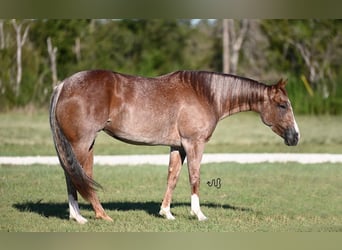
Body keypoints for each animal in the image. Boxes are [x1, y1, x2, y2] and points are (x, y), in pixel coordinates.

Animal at [48, 69, 300, 224]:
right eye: (282, 105)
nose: (295, 137)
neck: (206, 94)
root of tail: (63, 85)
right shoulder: (194, 143)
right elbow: (194, 176)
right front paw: (198, 214)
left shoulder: (178, 147)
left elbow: (173, 177)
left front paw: (166, 213)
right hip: (81, 143)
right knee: (74, 176)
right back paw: (89, 216)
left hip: (86, 144)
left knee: (77, 175)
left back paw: (81, 215)